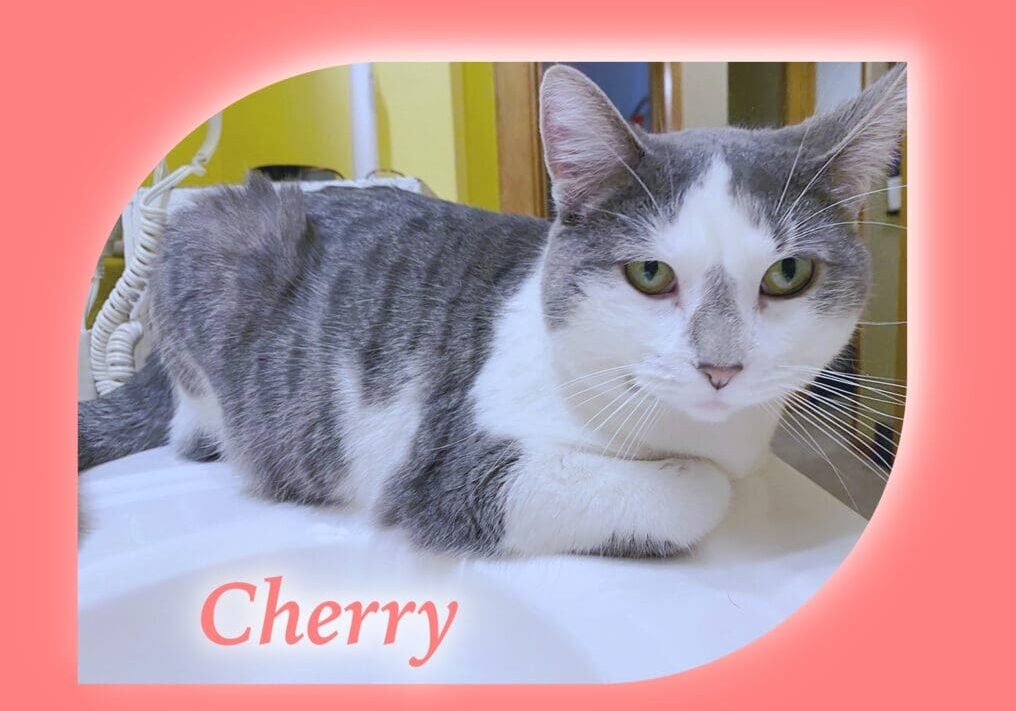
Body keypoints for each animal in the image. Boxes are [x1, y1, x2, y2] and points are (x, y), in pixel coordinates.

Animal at [77, 65, 906, 556]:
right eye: (650, 273)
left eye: (788, 273)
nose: (721, 366)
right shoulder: (448, 467)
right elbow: (697, 491)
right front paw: (687, 491)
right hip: (220, 239)